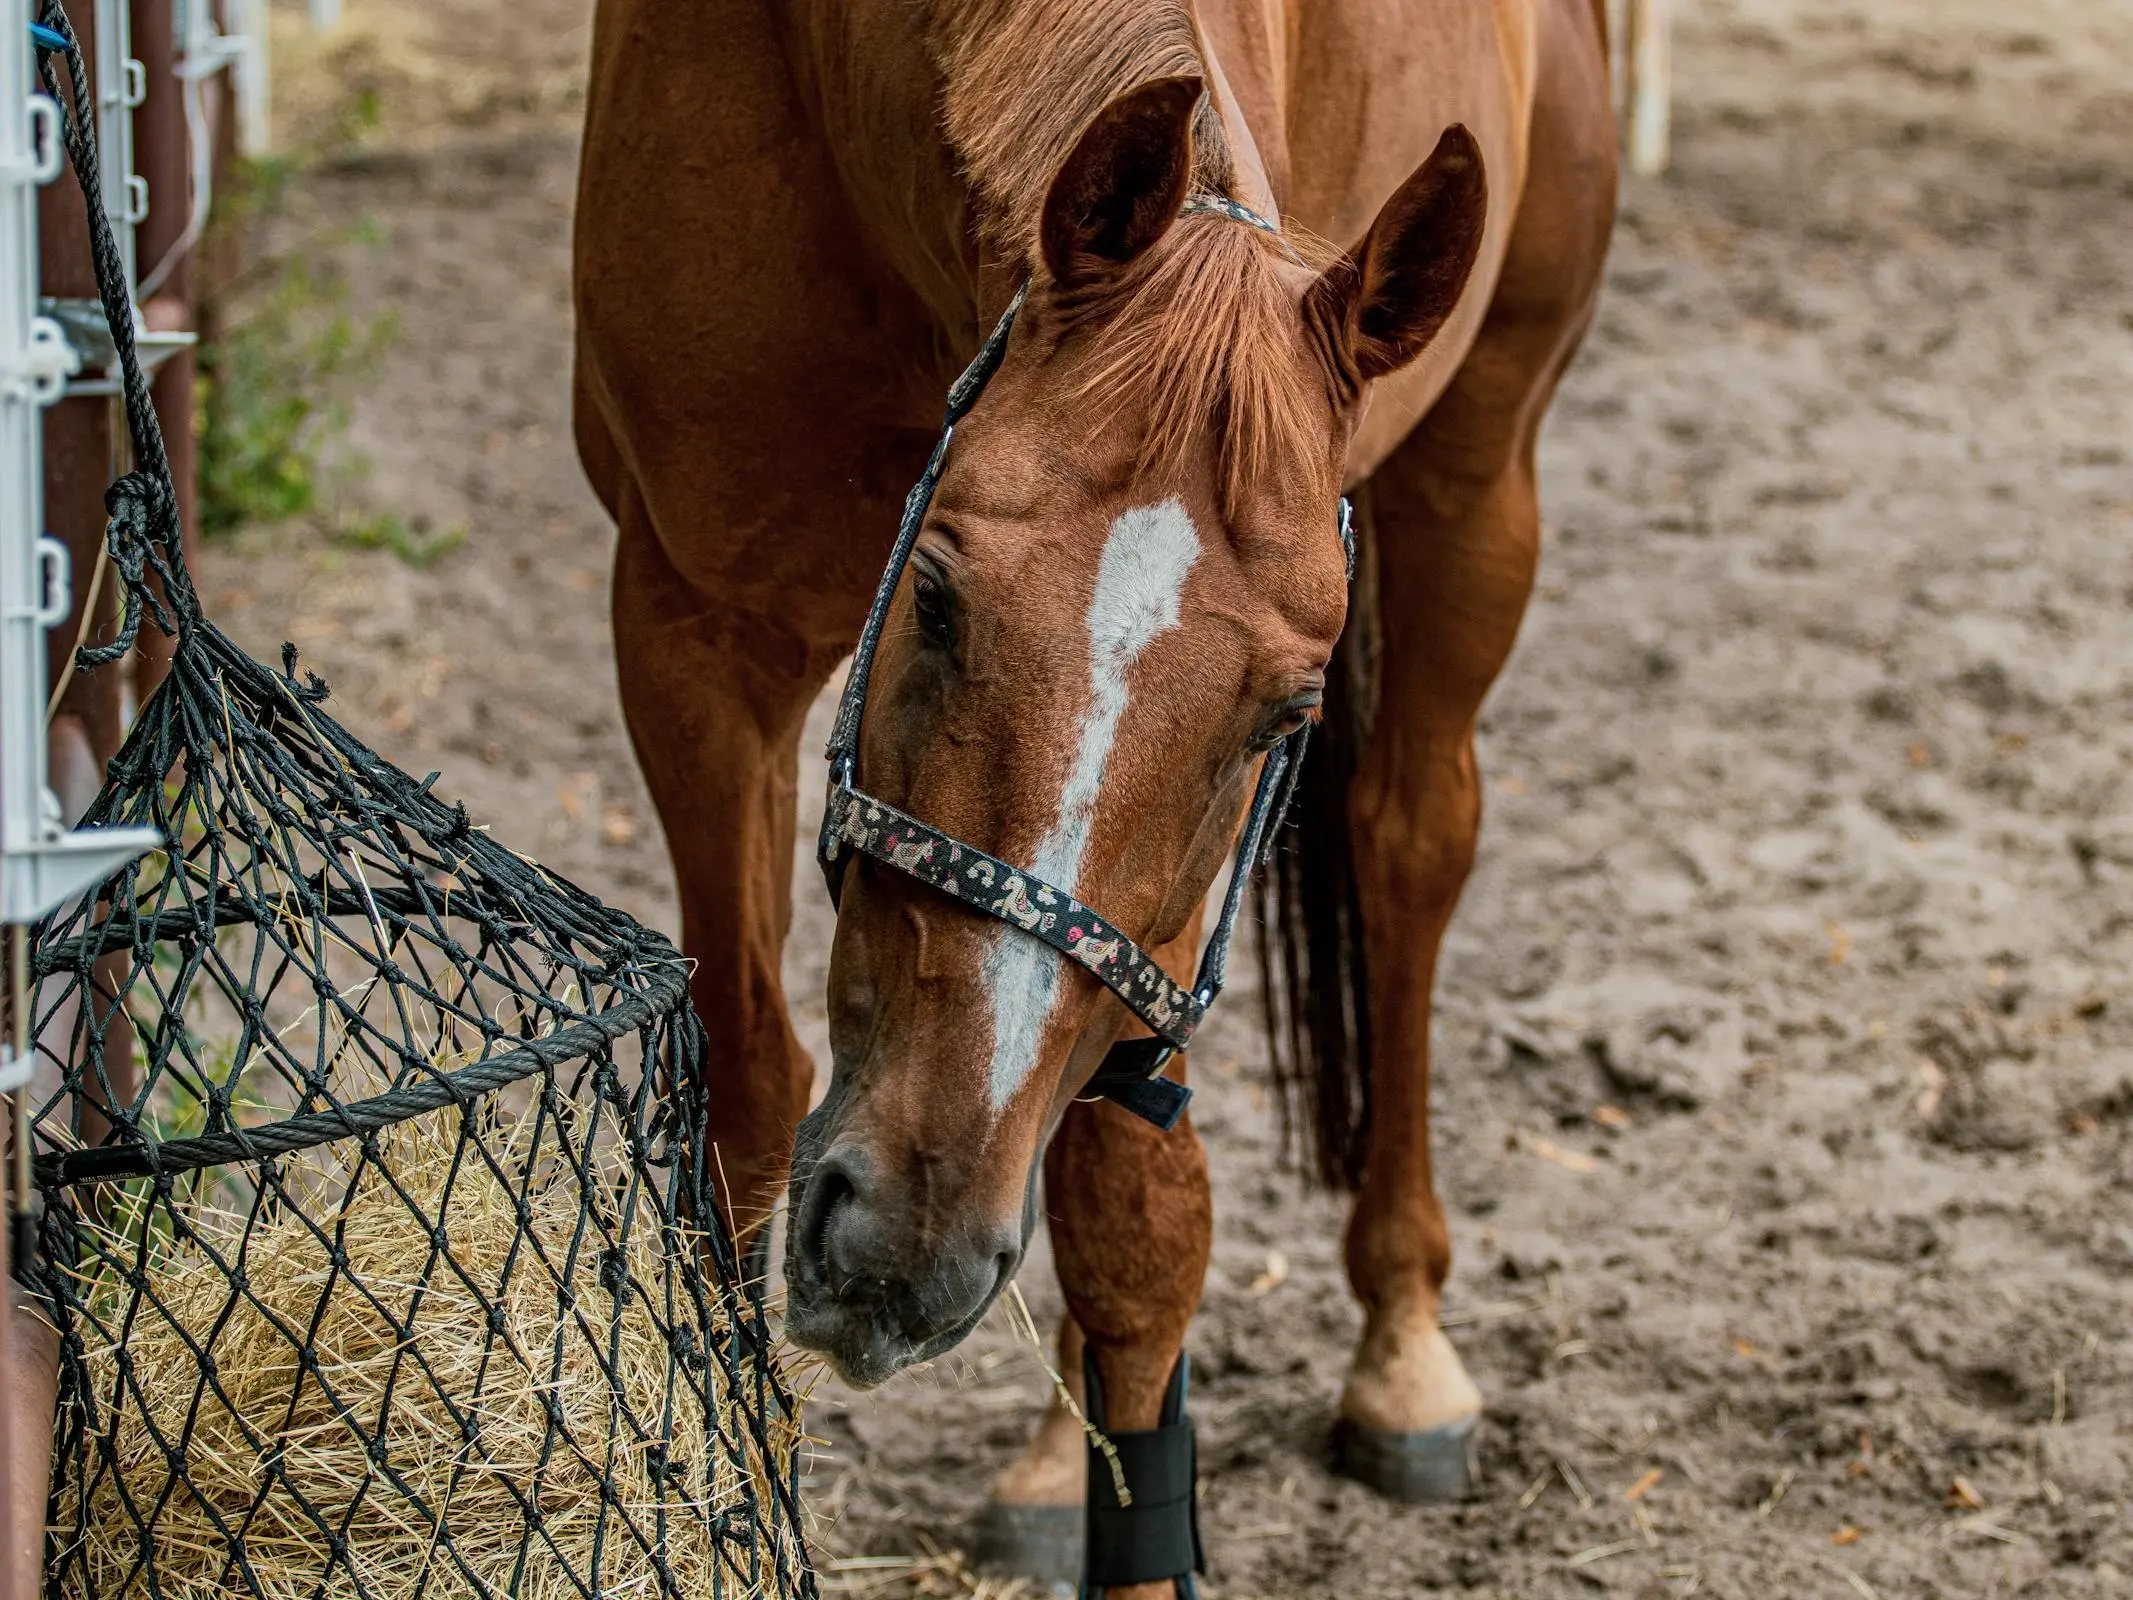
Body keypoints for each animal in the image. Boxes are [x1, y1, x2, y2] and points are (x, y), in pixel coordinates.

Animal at [575, 0, 1604, 1595]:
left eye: (1284, 716)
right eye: (935, 598)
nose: (906, 1238)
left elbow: (1135, 1225)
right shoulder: (692, 638)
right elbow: (742, 1094)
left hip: (1482, 471)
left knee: (1410, 853)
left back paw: (1401, 1347)